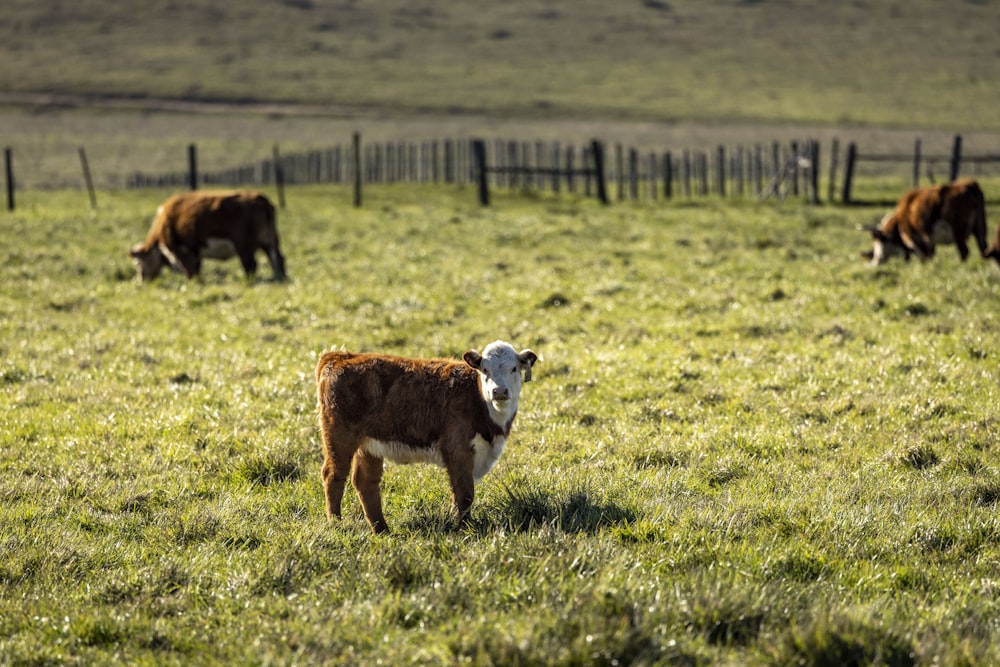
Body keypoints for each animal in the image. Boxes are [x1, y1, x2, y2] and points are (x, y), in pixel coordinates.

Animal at [128, 190, 286, 282]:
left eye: (138, 263)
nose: (141, 280)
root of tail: (261, 198)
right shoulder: (196, 251)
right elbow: (197, 267)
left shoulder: (182, 250)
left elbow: (190, 269)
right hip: (270, 241)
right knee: (278, 260)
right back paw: (280, 278)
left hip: (244, 246)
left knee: (251, 265)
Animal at [318, 342, 540, 536]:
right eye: (485, 370)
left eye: (514, 368)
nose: (499, 391)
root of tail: (340, 357)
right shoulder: (457, 449)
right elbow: (465, 494)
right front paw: (465, 528)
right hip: (339, 438)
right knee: (333, 475)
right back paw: (336, 524)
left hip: (370, 445)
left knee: (365, 482)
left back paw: (382, 530)